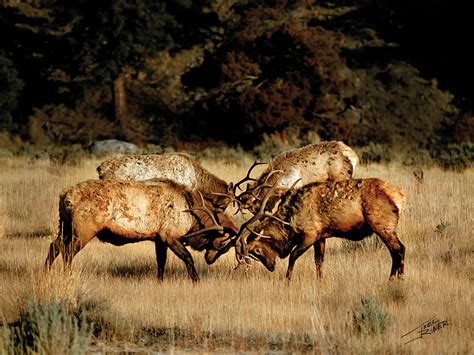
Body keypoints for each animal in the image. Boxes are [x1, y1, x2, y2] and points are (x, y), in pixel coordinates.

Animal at [45, 179, 237, 282]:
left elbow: (161, 262)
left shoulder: (158, 238)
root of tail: (64, 195)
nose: (210, 259)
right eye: (222, 245)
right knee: (67, 251)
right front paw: (196, 281)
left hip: (66, 227)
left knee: (54, 246)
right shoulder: (169, 235)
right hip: (84, 229)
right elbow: (187, 257)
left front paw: (159, 282)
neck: (192, 217)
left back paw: (46, 270)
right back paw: (67, 275)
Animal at [235, 179, 406, 282]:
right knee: (398, 250)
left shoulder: (310, 234)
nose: (271, 266)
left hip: (382, 225)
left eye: (257, 250)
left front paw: (287, 280)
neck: (290, 222)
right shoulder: (321, 236)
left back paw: (395, 279)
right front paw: (320, 280)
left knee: (398, 249)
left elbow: (293, 256)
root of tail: (401, 196)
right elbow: (319, 261)